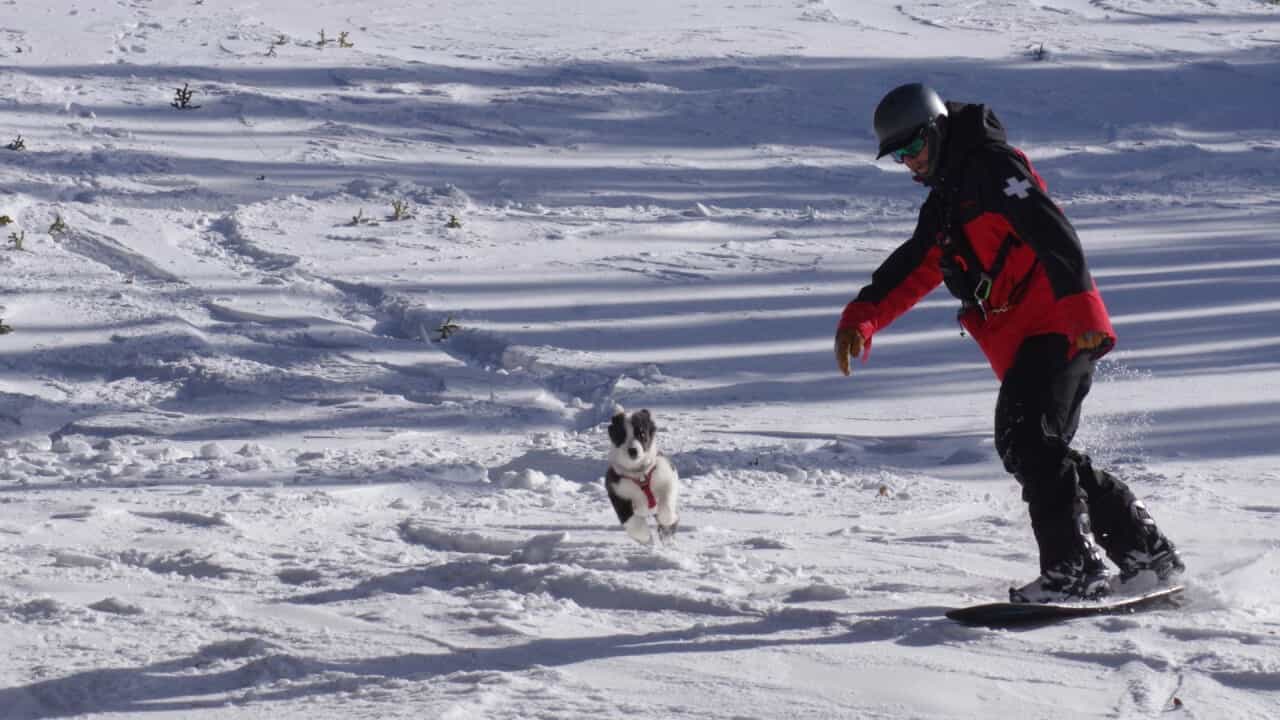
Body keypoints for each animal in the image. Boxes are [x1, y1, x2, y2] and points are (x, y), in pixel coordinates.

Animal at [601, 407, 675, 540]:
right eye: (621, 435)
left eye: (642, 434)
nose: (633, 451)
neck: (639, 474)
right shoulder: (616, 491)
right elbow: (631, 519)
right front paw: (644, 536)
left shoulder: (667, 475)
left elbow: (666, 503)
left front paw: (666, 520)